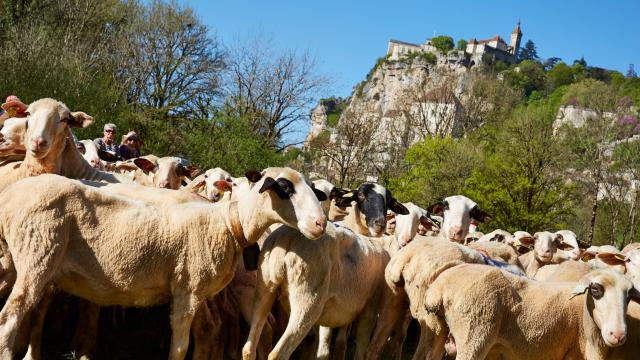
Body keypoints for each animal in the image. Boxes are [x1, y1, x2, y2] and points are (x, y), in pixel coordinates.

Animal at [0, 167, 328, 358]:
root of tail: (11, 196)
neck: (227, 223)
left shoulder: (192, 292)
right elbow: (180, 346)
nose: (321, 224)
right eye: (285, 188)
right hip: (38, 254)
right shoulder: (188, 290)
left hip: (15, 258)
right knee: (8, 320)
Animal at [242, 184, 408, 360]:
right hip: (308, 301)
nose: (380, 224)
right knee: (278, 354)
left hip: (264, 288)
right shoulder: (369, 310)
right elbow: (360, 349)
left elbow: (325, 349)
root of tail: (287, 238)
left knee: (248, 348)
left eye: (389, 201)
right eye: (361, 195)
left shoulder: (333, 313)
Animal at [424, 264, 640, 360]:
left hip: (439, 330)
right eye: (596, 290)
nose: (618, 335)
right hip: (474, 334)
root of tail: (441, 286)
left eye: (629, 296)